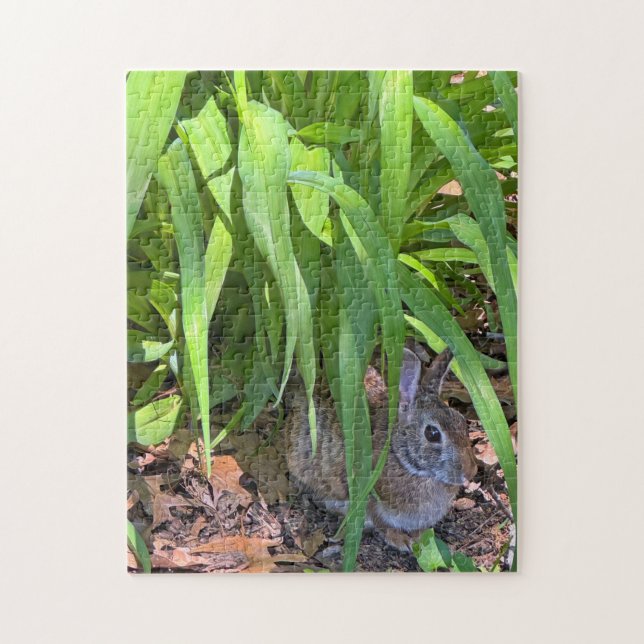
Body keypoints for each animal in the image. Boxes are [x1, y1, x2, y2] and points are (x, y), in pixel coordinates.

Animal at [285, 347, 478, 551]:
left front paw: (420, 536)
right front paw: (400, 540)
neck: (401, 457)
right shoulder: (366, 495)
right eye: (432, 433)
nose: (471, 471)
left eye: (461, 421)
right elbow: (379, 521)